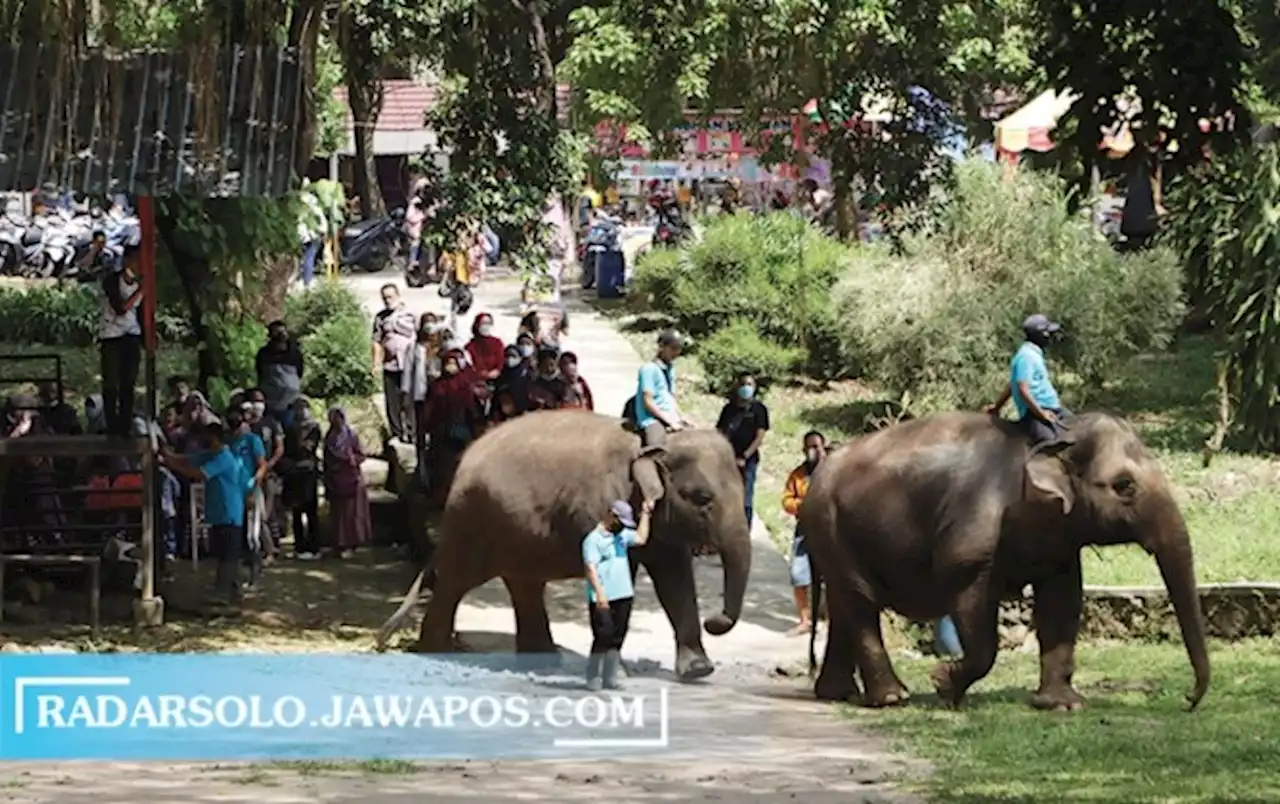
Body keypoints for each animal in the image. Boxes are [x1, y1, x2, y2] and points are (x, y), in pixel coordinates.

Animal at [373, 412, 747, 681]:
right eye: (702, 499)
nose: (715, 621)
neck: (653, 445)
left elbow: (675, 580)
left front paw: (698, 671)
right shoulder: (603, 507)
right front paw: (622, 674)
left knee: (522, 583)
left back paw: (543, 662)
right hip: (473, 517)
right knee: (457, 580)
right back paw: (436, 652)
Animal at [798, 414, 1208, 711]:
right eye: (1125, 486)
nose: (1188, 700)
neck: (1053, 439)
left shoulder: (1060, 540)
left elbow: (1063, 600)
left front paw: (1063, 706)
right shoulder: (973, 536)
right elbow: (972, 604)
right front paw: (943, 685)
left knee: (845, 604)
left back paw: (839, 694)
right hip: (830, 526)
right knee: (860, 602)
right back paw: (891, 698)